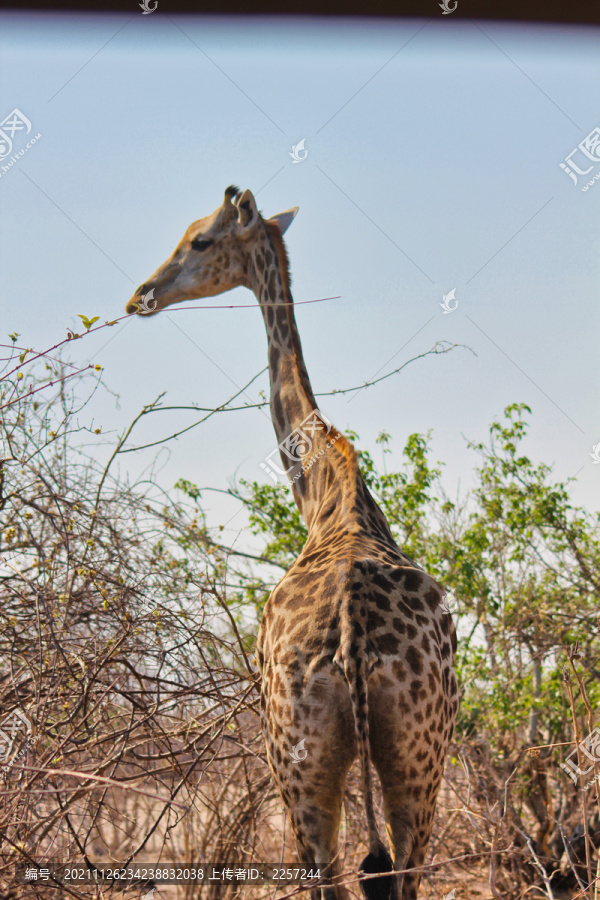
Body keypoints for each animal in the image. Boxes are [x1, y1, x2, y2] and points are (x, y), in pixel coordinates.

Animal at [124, 186, 458, 900]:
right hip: (418, 757)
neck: (329, 492)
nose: (142, 294)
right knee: (401, 872)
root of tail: (354, 643)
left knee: (330, 878)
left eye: (199, 239)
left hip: (297, 762)